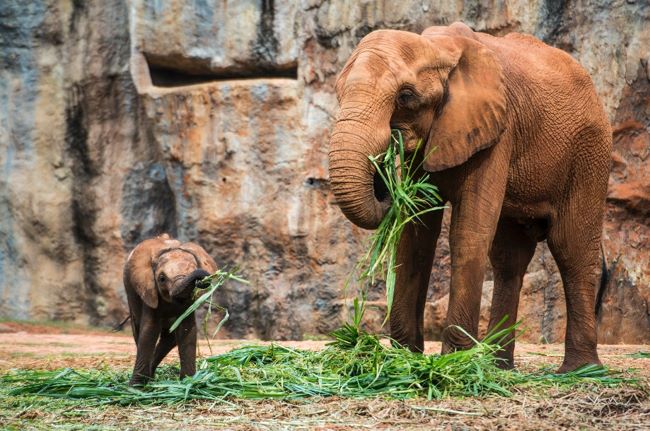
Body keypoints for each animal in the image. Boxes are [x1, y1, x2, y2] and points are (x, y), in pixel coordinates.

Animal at [120, 235, 214, 386]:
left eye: (194, 269)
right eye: (162, 279)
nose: (201, 278)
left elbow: (187, 330)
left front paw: (189, 383)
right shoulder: (149, 290)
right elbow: (149, 331)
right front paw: (135, 387)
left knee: (170, 338)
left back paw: (152, 375)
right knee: (138, 331)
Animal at [326, 22, 612, 372]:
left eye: (405, 96)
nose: (383, 175)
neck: (436, 47)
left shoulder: (497, 132)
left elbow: (468, 231)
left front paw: (453, 363)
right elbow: (416, 233)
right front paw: (405, 358)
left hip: (589, 154)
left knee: (572, 248)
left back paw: (580, 371)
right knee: (509, 258)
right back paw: (497, 366)